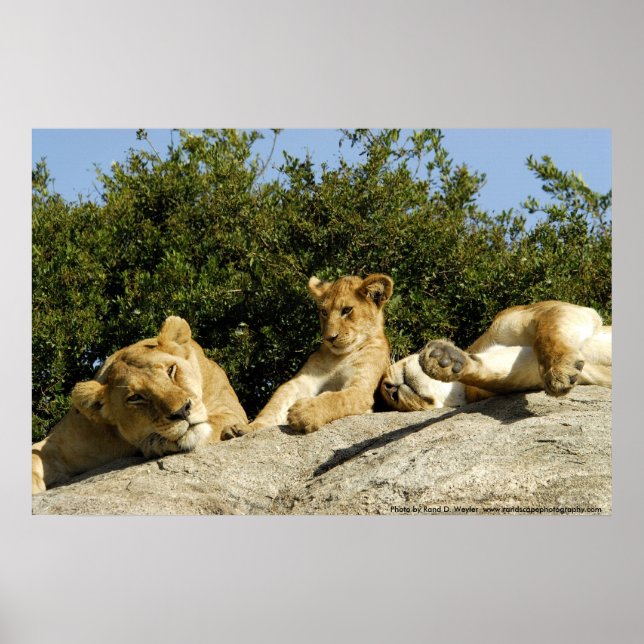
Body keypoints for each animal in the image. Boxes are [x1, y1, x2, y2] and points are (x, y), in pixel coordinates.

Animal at [32, 316, 248, 494]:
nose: (182, 411)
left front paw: (157, 443)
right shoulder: (61, 443)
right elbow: (37, 455)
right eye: (135, 397)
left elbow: (217, 420)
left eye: (171, 370)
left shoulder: (229, 409)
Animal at [223, 273, 394, 437]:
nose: (329, 338)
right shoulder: (304, 380)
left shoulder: (361, 389)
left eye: (347, 310)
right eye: (324, 312)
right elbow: (275, 404)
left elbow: (337, 398)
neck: (339, 357)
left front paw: (305, 413)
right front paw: (248, 428)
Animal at [380, 300, 612, 412]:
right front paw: (444, 360)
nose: (389, 390)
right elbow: (490, 372)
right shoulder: (524, 370)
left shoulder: (554, 310)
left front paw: (560, 369)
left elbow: (546, 333)